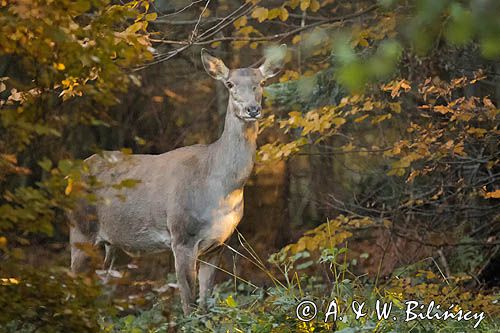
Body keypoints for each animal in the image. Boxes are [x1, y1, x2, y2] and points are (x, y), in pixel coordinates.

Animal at [67, 44, 286, 314]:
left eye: (262, 82)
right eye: (230, 84)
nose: (252, 110)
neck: (221, 188)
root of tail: (69, 177)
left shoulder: (219, 244)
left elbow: (204, 304)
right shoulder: (182, 236)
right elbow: (188, 305)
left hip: (112, 243)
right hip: (81, 229)